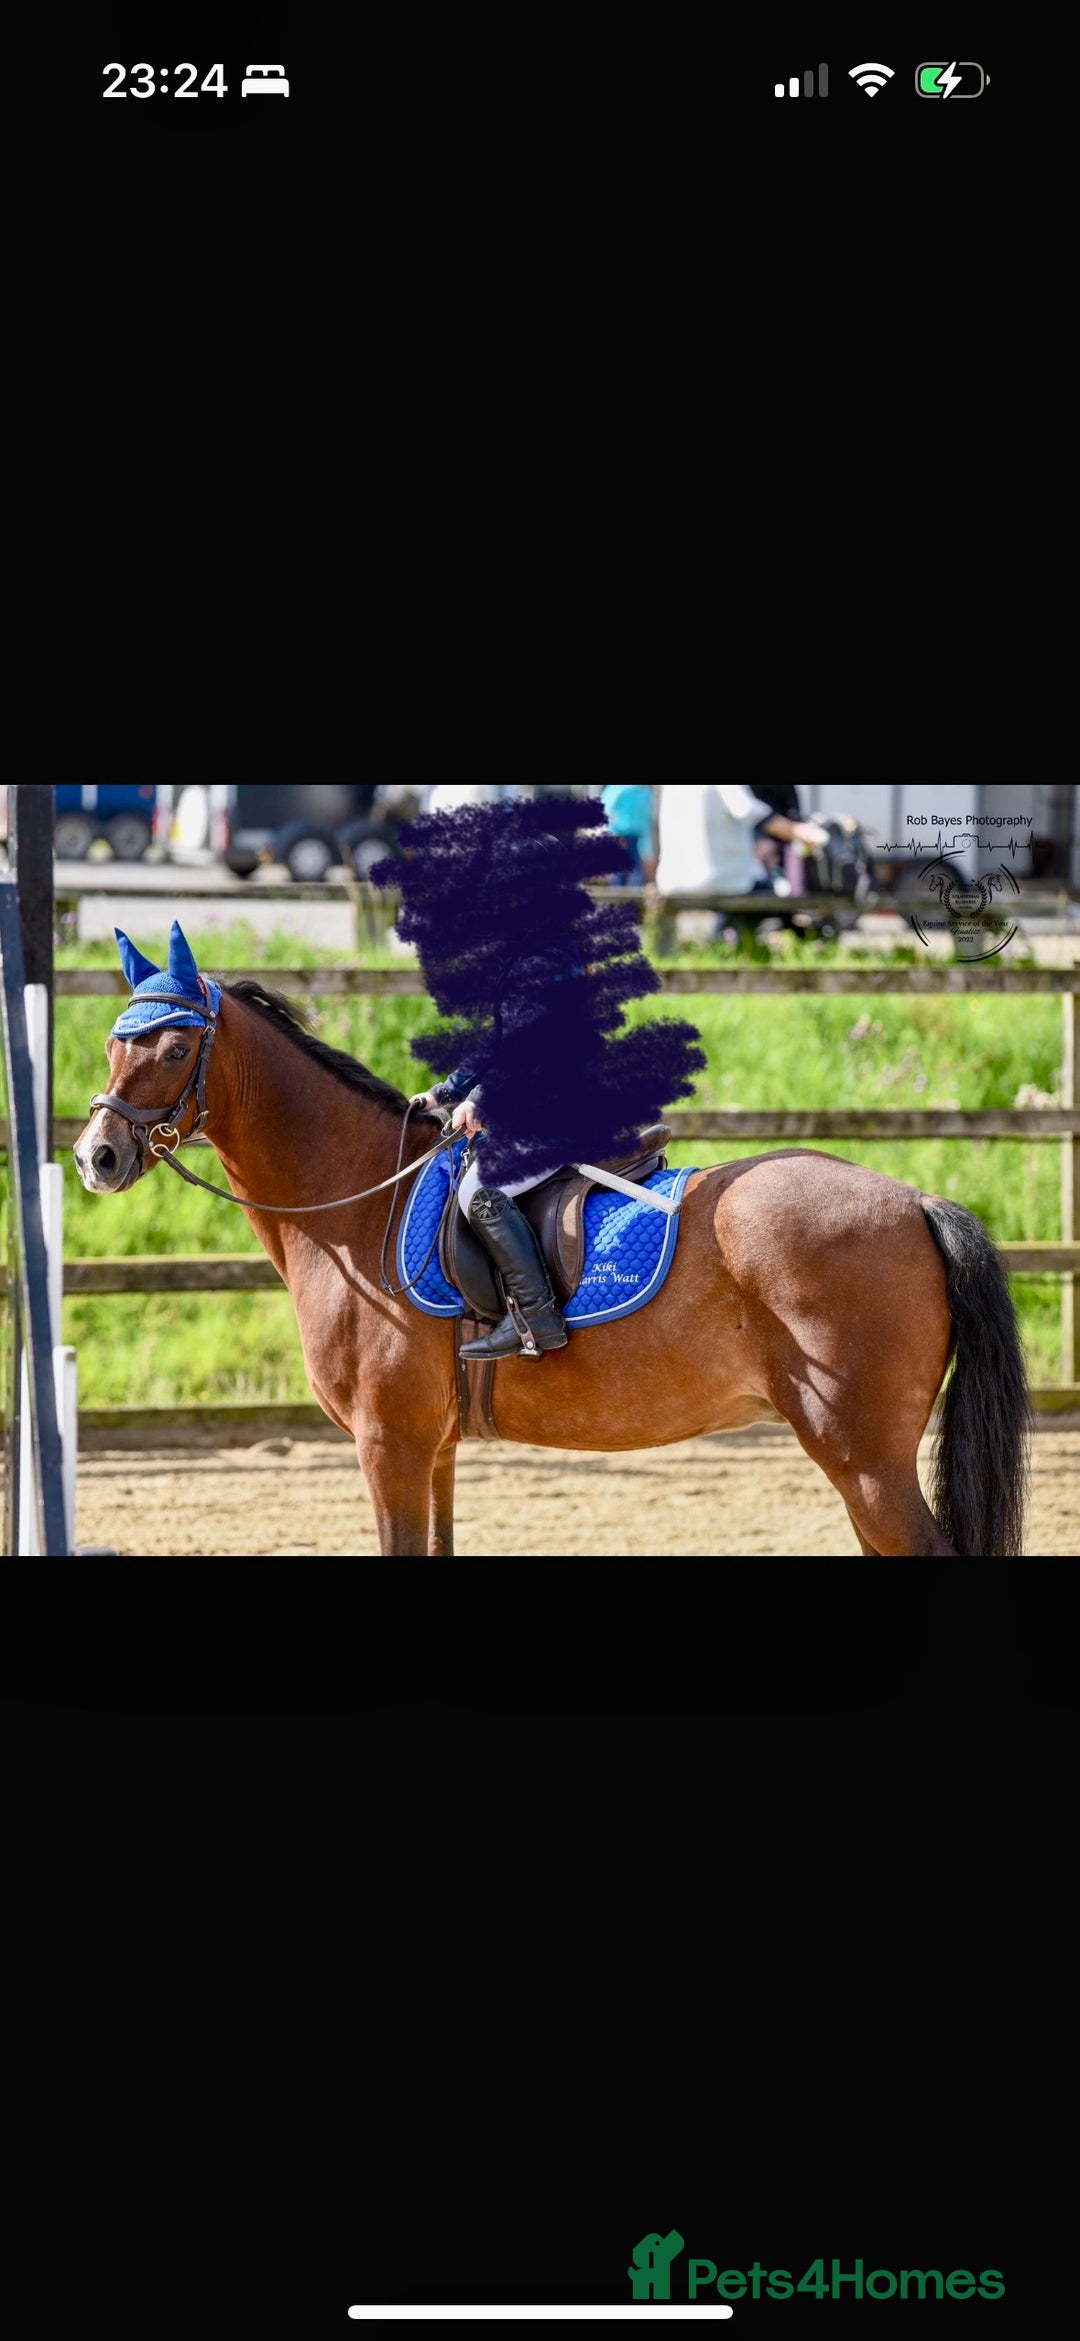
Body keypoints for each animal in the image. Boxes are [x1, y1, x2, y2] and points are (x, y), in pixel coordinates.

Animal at [74, 977, 1031, 1557]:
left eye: (173, 1050)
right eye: (116, 1045)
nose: (97, 1156)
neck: (356, 1197)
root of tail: (916, 1201)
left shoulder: (389, 1444)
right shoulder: (434, 1449)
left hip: (863, 1456)